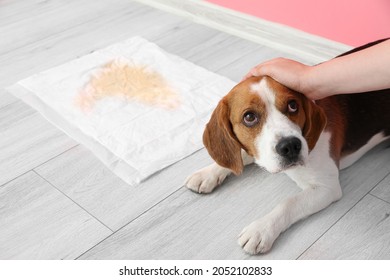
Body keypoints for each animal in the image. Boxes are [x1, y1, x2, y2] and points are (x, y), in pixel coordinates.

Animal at [185, 40, 390, 256]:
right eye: (249, 117)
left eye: (293, 105)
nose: (291, 146)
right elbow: (241, 154)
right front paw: (208, 173)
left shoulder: (326, 188)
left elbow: (288, 203)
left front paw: (261, 229)